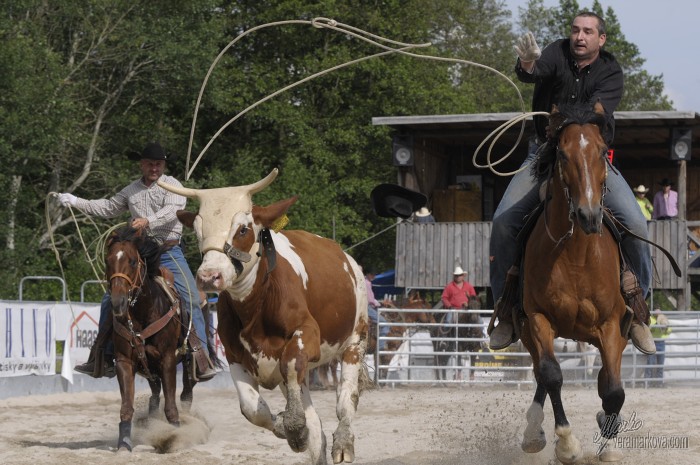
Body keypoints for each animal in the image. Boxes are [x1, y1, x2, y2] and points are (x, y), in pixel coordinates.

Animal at [105, 227, 205, 452]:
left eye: (133, 261)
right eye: (108, 261)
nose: (118, 302)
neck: (143, 313)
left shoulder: (167, 359)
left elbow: (171, 406)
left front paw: (175, 434)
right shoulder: (124, 361)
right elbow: (126, 406)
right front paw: (124, 442)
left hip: (188, 366)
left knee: (186, 394)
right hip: (149, 369)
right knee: (155, 394)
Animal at [520, 103, 628, 462]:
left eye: (602, 152)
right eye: (563, 155)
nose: (589, 215)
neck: (577, 256)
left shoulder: (611, 324)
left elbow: (613, 389)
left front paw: (609, 444)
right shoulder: (538, 318)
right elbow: (552, 375)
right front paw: (567, 444)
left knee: (607, 379)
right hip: (528, 332)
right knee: (542, 372)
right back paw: (532, 433)